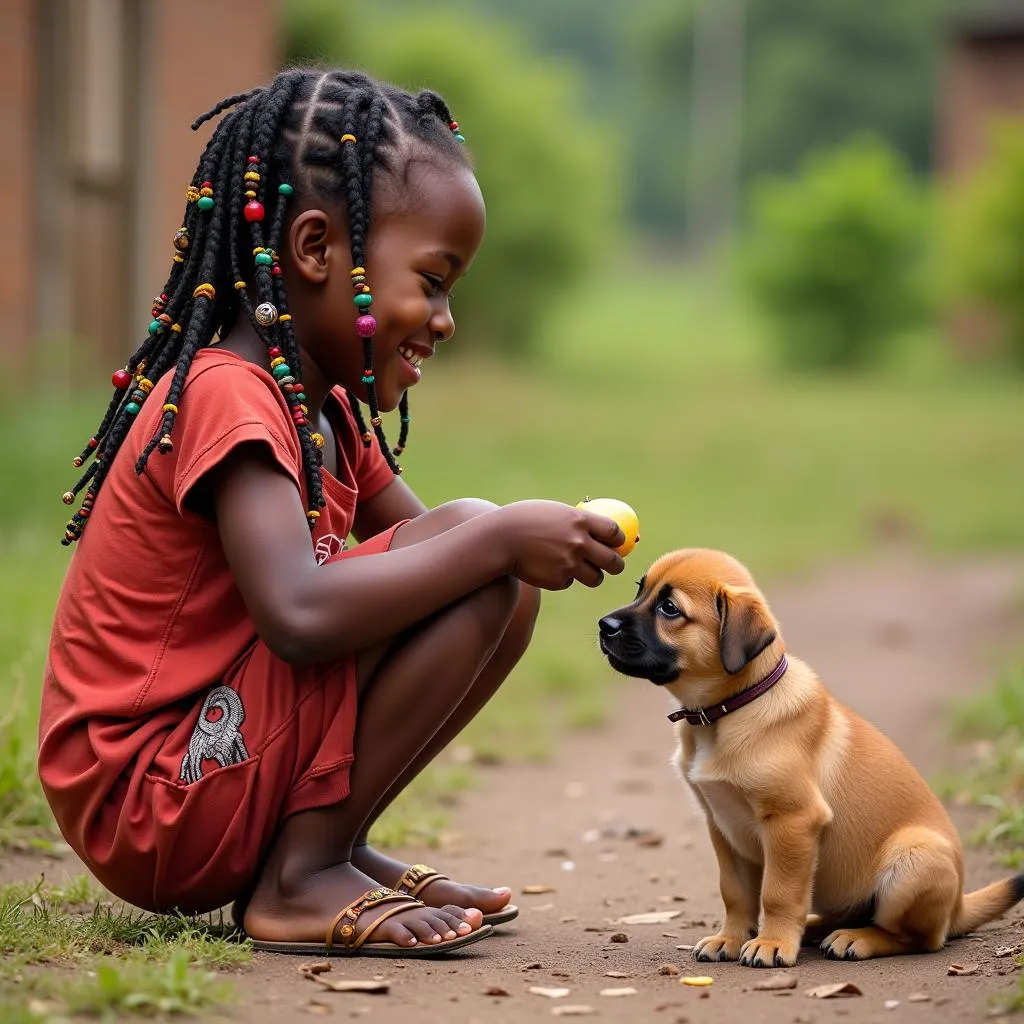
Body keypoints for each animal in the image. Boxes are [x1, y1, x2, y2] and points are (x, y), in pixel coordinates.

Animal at [598, 548, 1019, 962]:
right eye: (640, 589)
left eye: (669, 609)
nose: (604, 624)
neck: (730, 710)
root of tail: (958, 906)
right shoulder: (721, 823)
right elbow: (735, 893)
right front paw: (730, 939)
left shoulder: (793, 820)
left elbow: (778, 893)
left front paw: (772, 944)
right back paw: (819, 929)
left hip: (913, 858)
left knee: (919, 938)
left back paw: (855, 939)